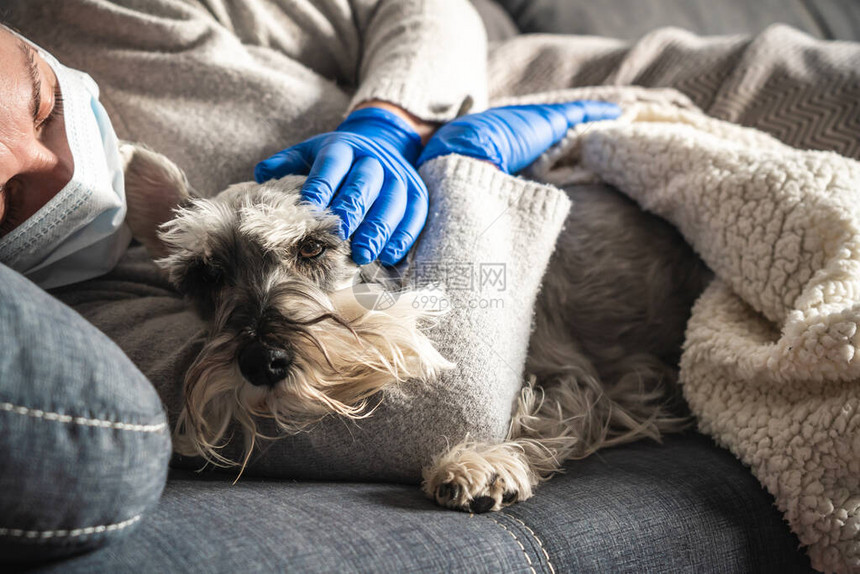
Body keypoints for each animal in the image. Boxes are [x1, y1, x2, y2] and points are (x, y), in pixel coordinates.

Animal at [122, 143, 712, 512]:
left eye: (311, 246)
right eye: (207, 273)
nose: (261, 361)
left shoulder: (573, 373)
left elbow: (540, 414)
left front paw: (479, 462)